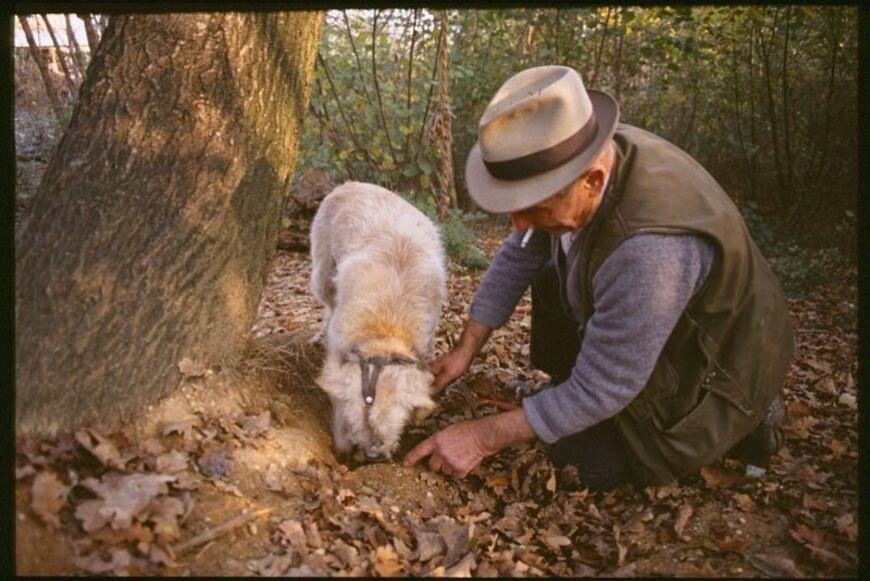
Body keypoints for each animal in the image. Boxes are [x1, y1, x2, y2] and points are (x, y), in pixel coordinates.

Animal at [312, 180, 450, 458]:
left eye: (391, 426)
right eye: (357, 423)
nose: (373, 455)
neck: (386, 330)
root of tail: (352, 183)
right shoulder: (339, 350)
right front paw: (341, 441)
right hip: (323, 270)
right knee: (327, 300)